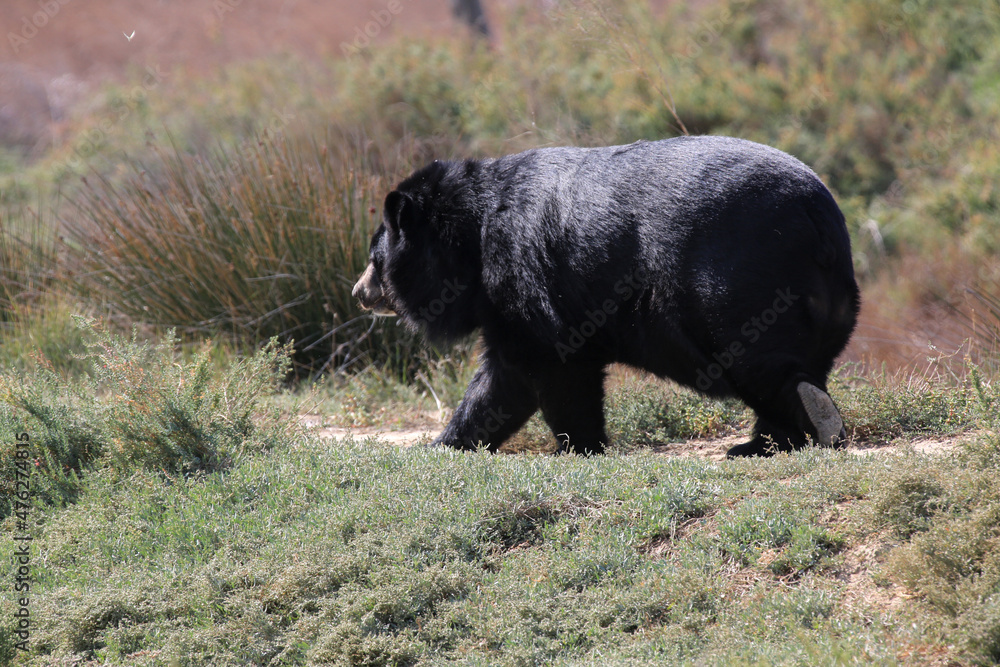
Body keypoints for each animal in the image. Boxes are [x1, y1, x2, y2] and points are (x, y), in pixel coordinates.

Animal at [352, 136, 860, 457]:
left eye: (375, 259)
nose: (359, 293)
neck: (472, 240)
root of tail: (818, 215)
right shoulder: (506, 304)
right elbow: (505, 382)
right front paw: (446, 444)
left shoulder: (524, 273)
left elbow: (551, 366)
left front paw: (580, 447)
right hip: (830, 298)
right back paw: (763, 442)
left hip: (737, 281)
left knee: (759, 362)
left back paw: (800, 429)